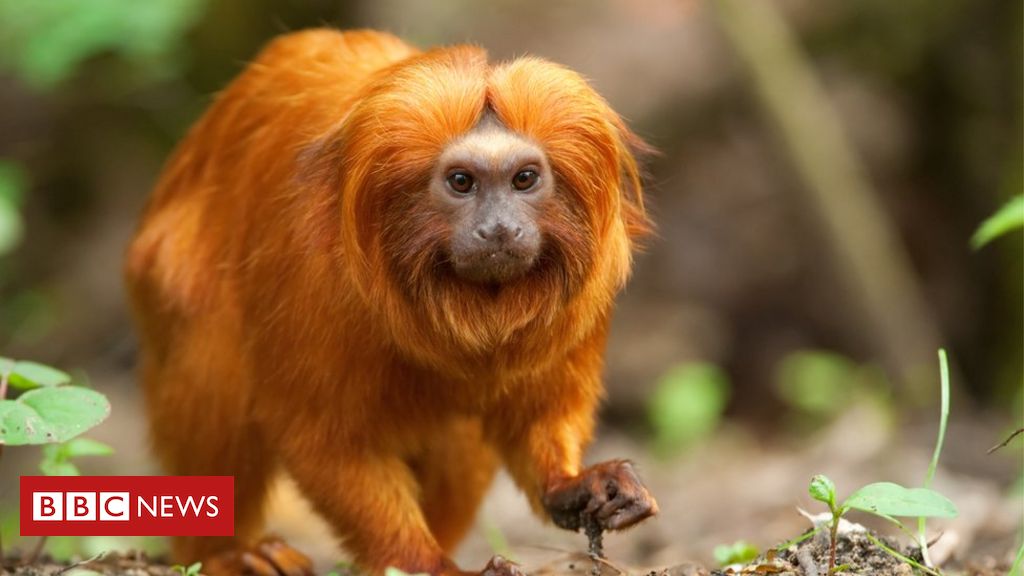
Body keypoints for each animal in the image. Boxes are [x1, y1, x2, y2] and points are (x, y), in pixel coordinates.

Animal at [125, 28, 655, 573]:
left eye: (524, 179)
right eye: (461, 182)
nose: (499, 229)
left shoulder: (582, 299)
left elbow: (540, 411)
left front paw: (572, 485)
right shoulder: (314, 277)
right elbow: (325, 439)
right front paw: (430, 563)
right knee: (215, 359)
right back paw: (228, 552)